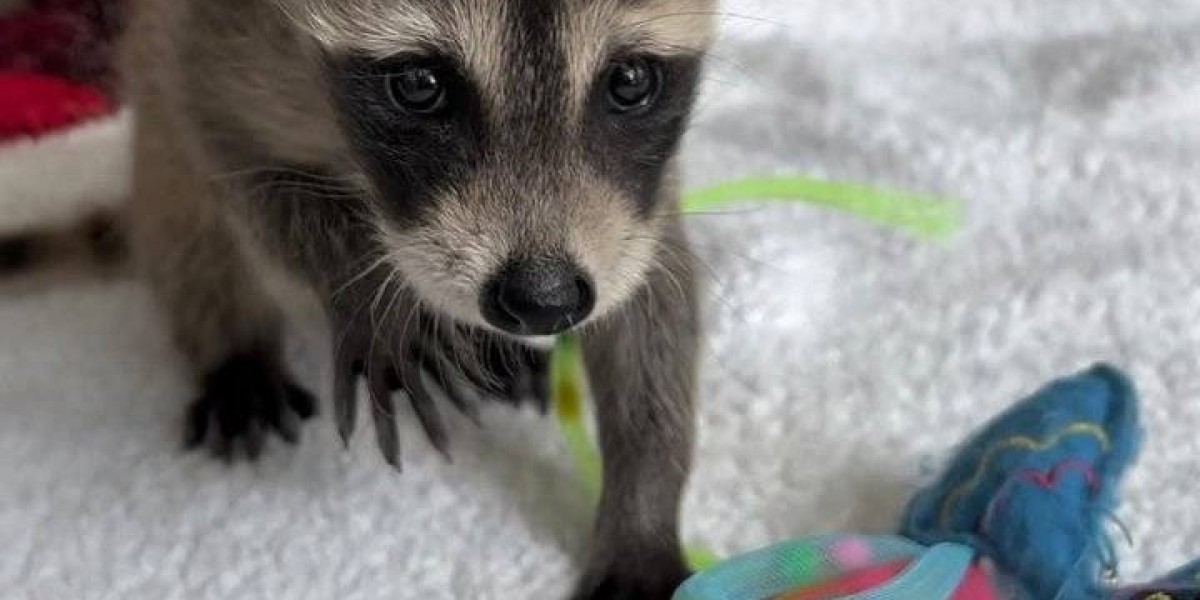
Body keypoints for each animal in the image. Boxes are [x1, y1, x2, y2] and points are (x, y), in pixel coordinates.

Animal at [110, 0, 714, 596]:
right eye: (420, 85)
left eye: (631, 80)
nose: (545, 301)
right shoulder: (212, 38)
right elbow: (235, 164)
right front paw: (371, 291)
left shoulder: (638, 195)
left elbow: (654, 289)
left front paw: (644, 506)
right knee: (186, 218)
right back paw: (236, 350)